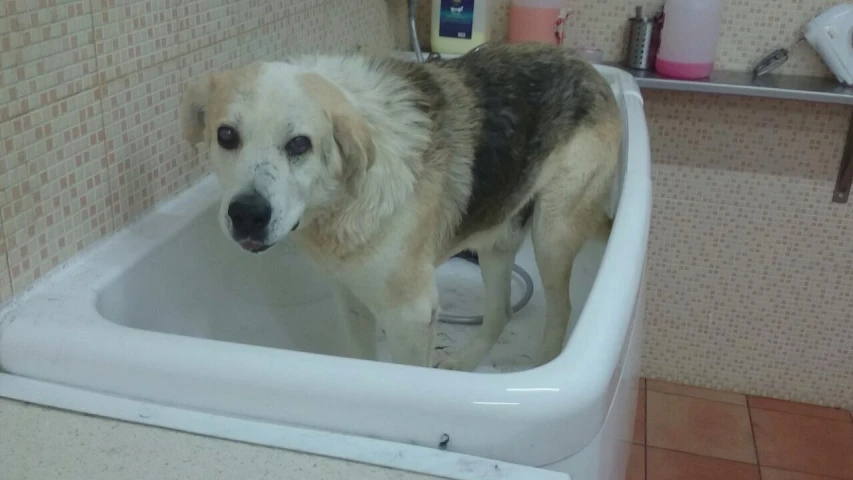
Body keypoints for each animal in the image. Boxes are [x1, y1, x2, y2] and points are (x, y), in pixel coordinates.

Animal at [180, 43, 620, 370]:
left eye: (299, 144)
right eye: (226, 136)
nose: (247, 215)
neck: (344, 200)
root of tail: (592, 70)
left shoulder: (411, 317)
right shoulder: (352, 301)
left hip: (552, 235)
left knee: (560, 311)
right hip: (497, 240)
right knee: (500, 314)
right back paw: (464, 361)